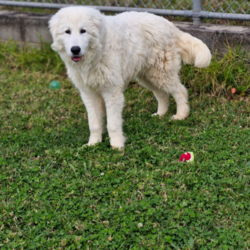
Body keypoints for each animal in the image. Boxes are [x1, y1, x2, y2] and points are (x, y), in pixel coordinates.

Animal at [48, 7, 211, 148]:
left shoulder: (112, 92)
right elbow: (94, 124)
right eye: (67, 31)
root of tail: (170, 25)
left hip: (161, 74)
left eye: (83, 31)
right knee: (162, 94)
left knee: (180, 91)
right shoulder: (89, 93)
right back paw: (160, 114)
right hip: (148, 77)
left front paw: (117, 146)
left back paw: (181, 115)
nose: (75, 50)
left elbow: (113, 124)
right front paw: (93, 144)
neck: (95, 54)